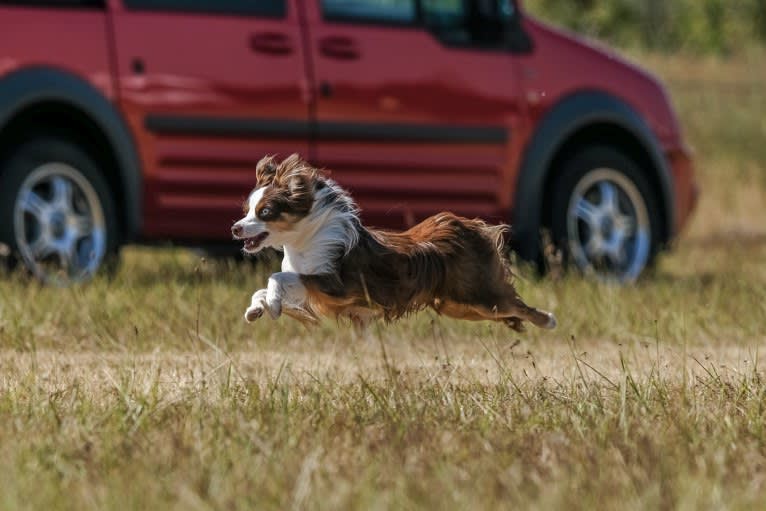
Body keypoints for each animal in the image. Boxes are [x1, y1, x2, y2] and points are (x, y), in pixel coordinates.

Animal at [230, 154, 560, 334]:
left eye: (265, 212)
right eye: (247, 210)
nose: (235, 228)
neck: (305, 238)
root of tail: (461, 224)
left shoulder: (335, 283)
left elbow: (277, 277)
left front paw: (271, 305)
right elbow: (266, 289)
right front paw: (259, 309)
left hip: (478, 296)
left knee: (517, 305)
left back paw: (549, 320)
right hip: (457, 305)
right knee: (510, 311)